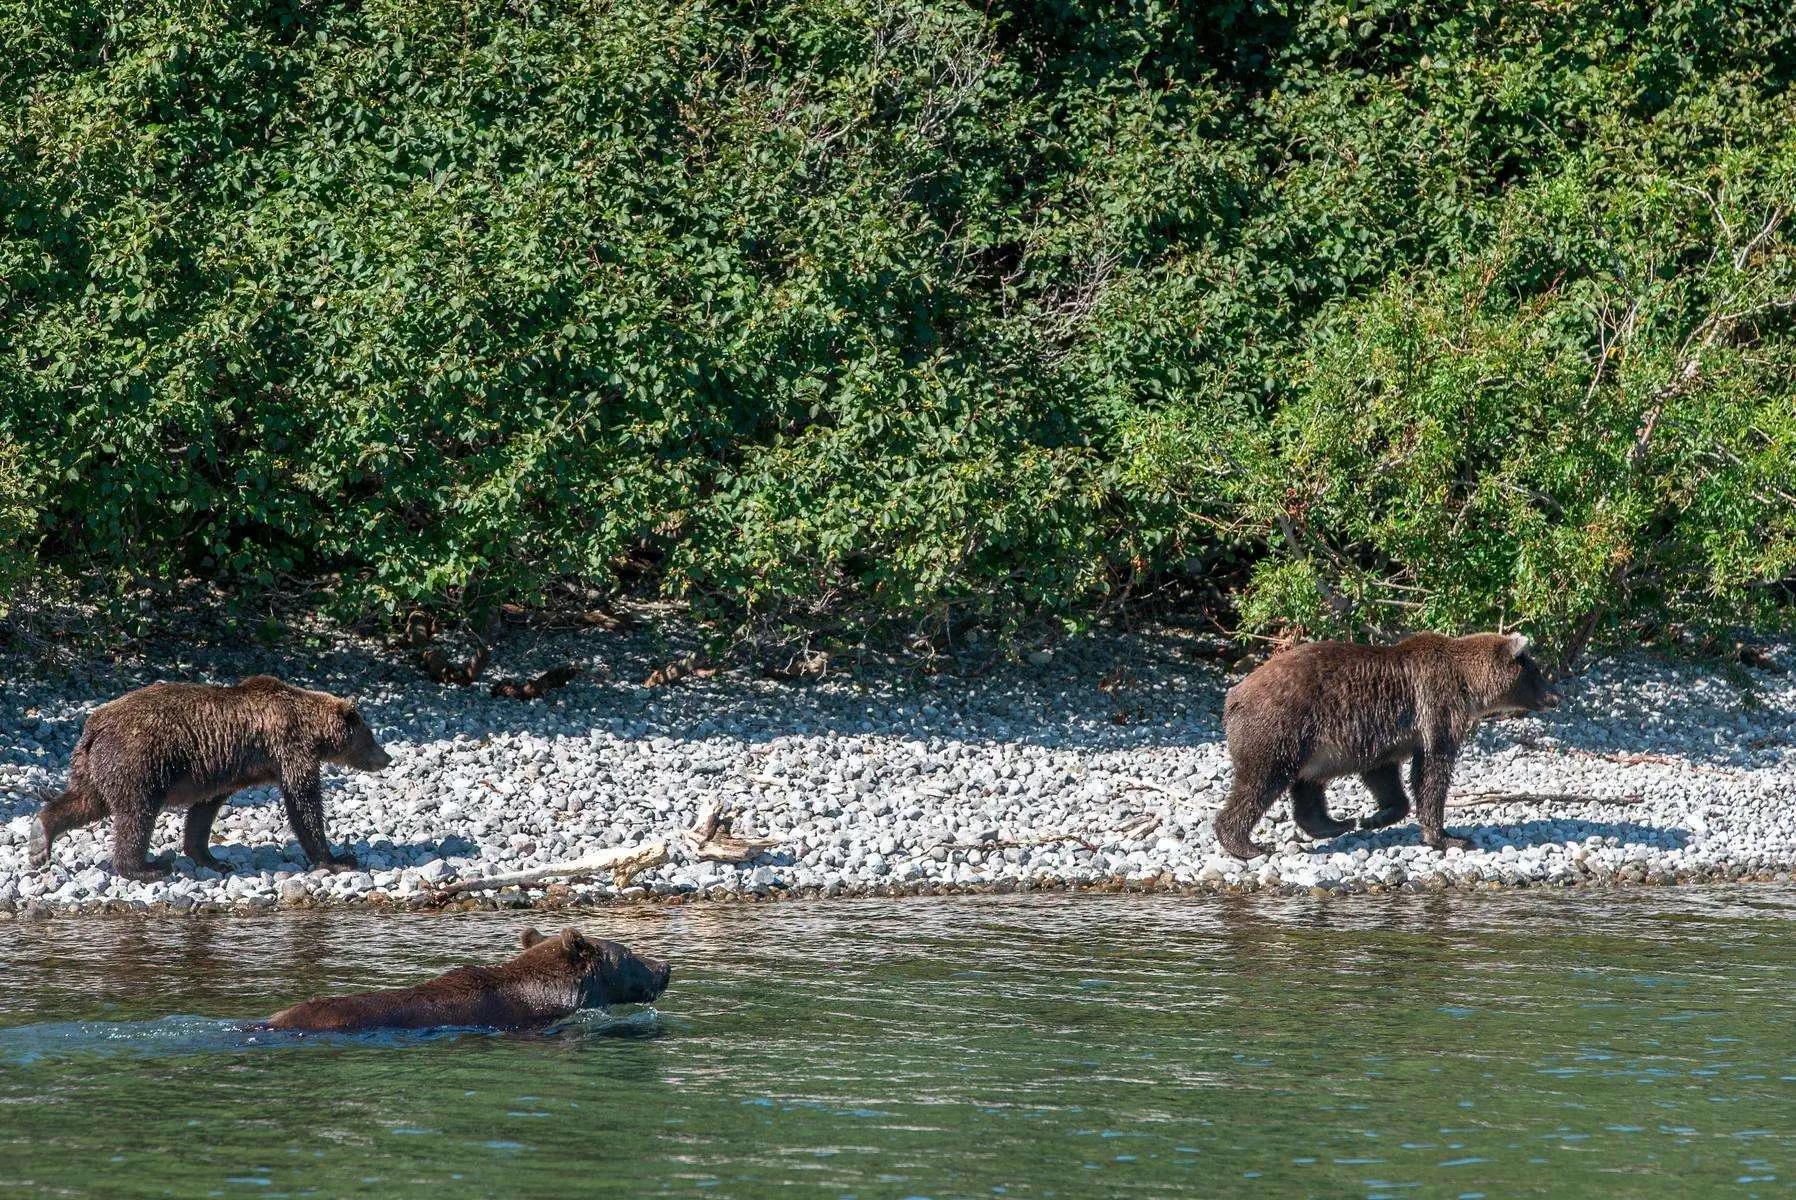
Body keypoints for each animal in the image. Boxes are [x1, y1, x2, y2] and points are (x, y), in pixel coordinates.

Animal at [28, 675, 395, 880]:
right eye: (371, 735)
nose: (387, 757)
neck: (310, 728)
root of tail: (94, 726)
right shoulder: (291, 749)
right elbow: (302, 801)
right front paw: (337, 859)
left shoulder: (223, 772)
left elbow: (203, 811)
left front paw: (212, 859)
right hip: (137, 760)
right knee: (136, 814)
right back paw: (146, 868)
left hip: (95, 765)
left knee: (87, 800)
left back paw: (39, 838)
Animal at [1214, 632, 1566, 858]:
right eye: (1537, 671)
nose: (1555, 696)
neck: (1469, 684)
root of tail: (1233, 697)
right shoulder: (1437, 706)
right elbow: (1433, 770)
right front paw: (1448, 838)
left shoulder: (1382, 734)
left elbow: (1383, 774)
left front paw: (1375, 817)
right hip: (1281, 727)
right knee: (1261, 782)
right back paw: (1247, 844)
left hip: (1310, 743)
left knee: (1307, 785)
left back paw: (1334, 825)